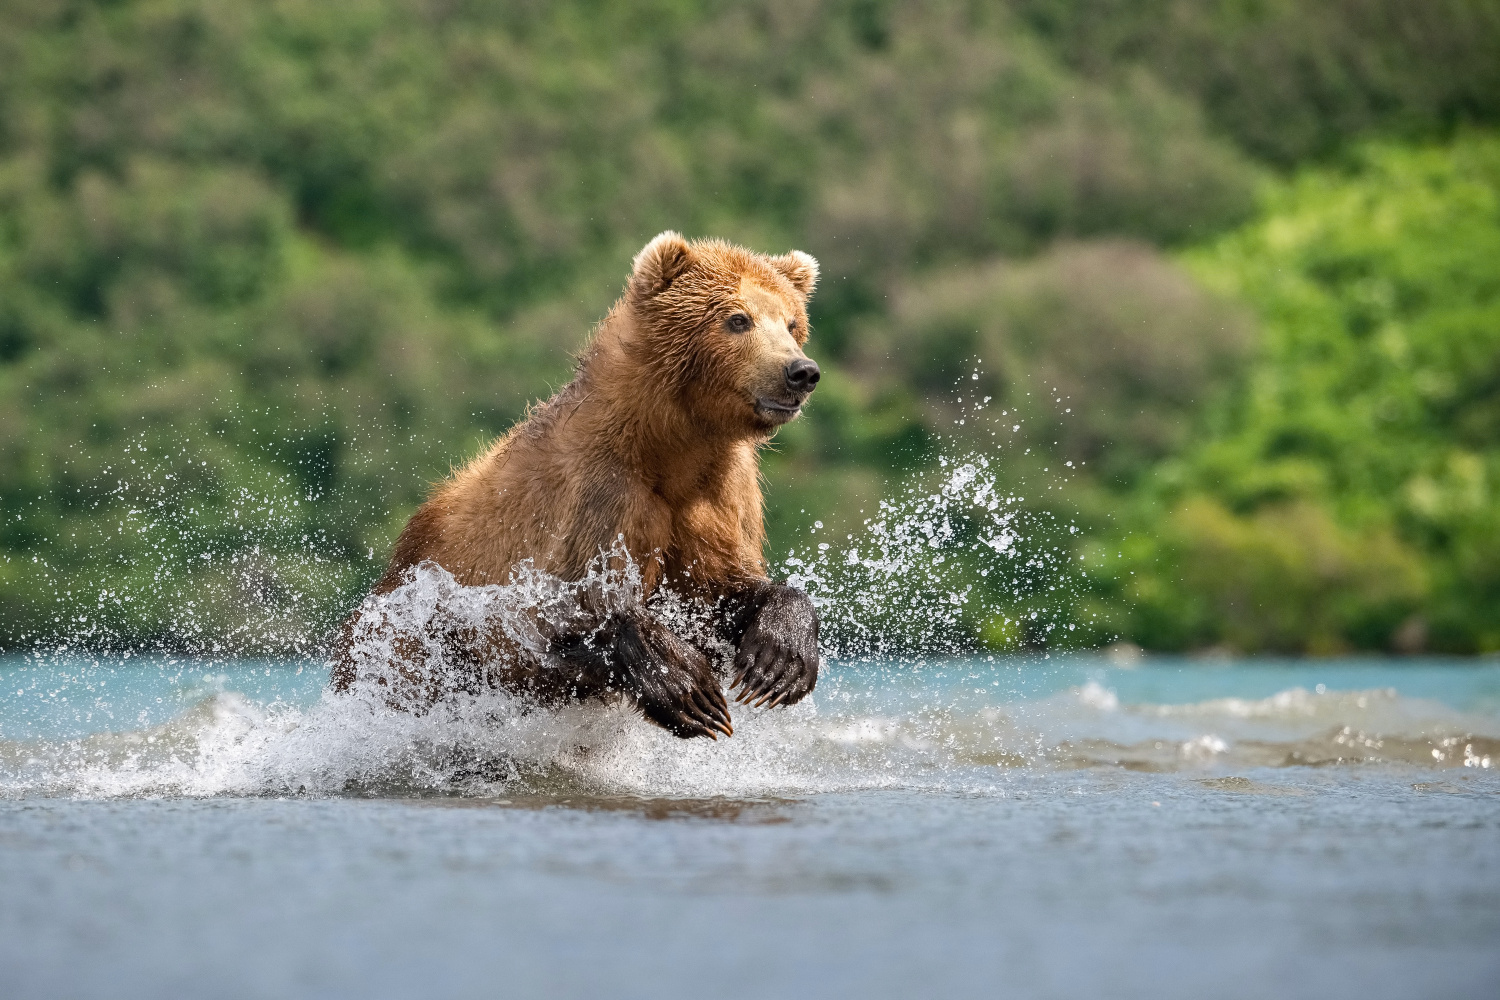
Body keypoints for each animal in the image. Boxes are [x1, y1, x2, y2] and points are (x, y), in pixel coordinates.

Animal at [331, 230, 822, 740]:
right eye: (738, 319)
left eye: (792, 323)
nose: (800, 371)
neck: (669, 449)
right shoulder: (594, 498)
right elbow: (552, 620)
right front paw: (686, 685)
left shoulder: (718, 495)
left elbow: (720, 590)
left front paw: (779, 658)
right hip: (400, 633)